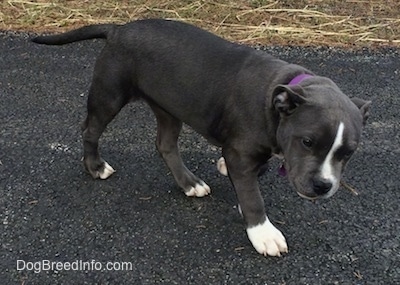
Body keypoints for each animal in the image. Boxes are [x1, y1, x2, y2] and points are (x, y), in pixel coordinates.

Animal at [32, 18, 370, 256]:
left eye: (348, 153)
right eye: (307, 141)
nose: (323, 185)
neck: (281, 96)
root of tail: (118, 30)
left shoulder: (246, 151)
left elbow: (249, 175)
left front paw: (228, 176)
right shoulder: (242, 154)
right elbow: (253, 196)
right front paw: (262, 232)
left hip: (168, 107)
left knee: (166, 145)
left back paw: (189, 183)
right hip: (109, 95)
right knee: (90, 129)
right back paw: (95, 166)